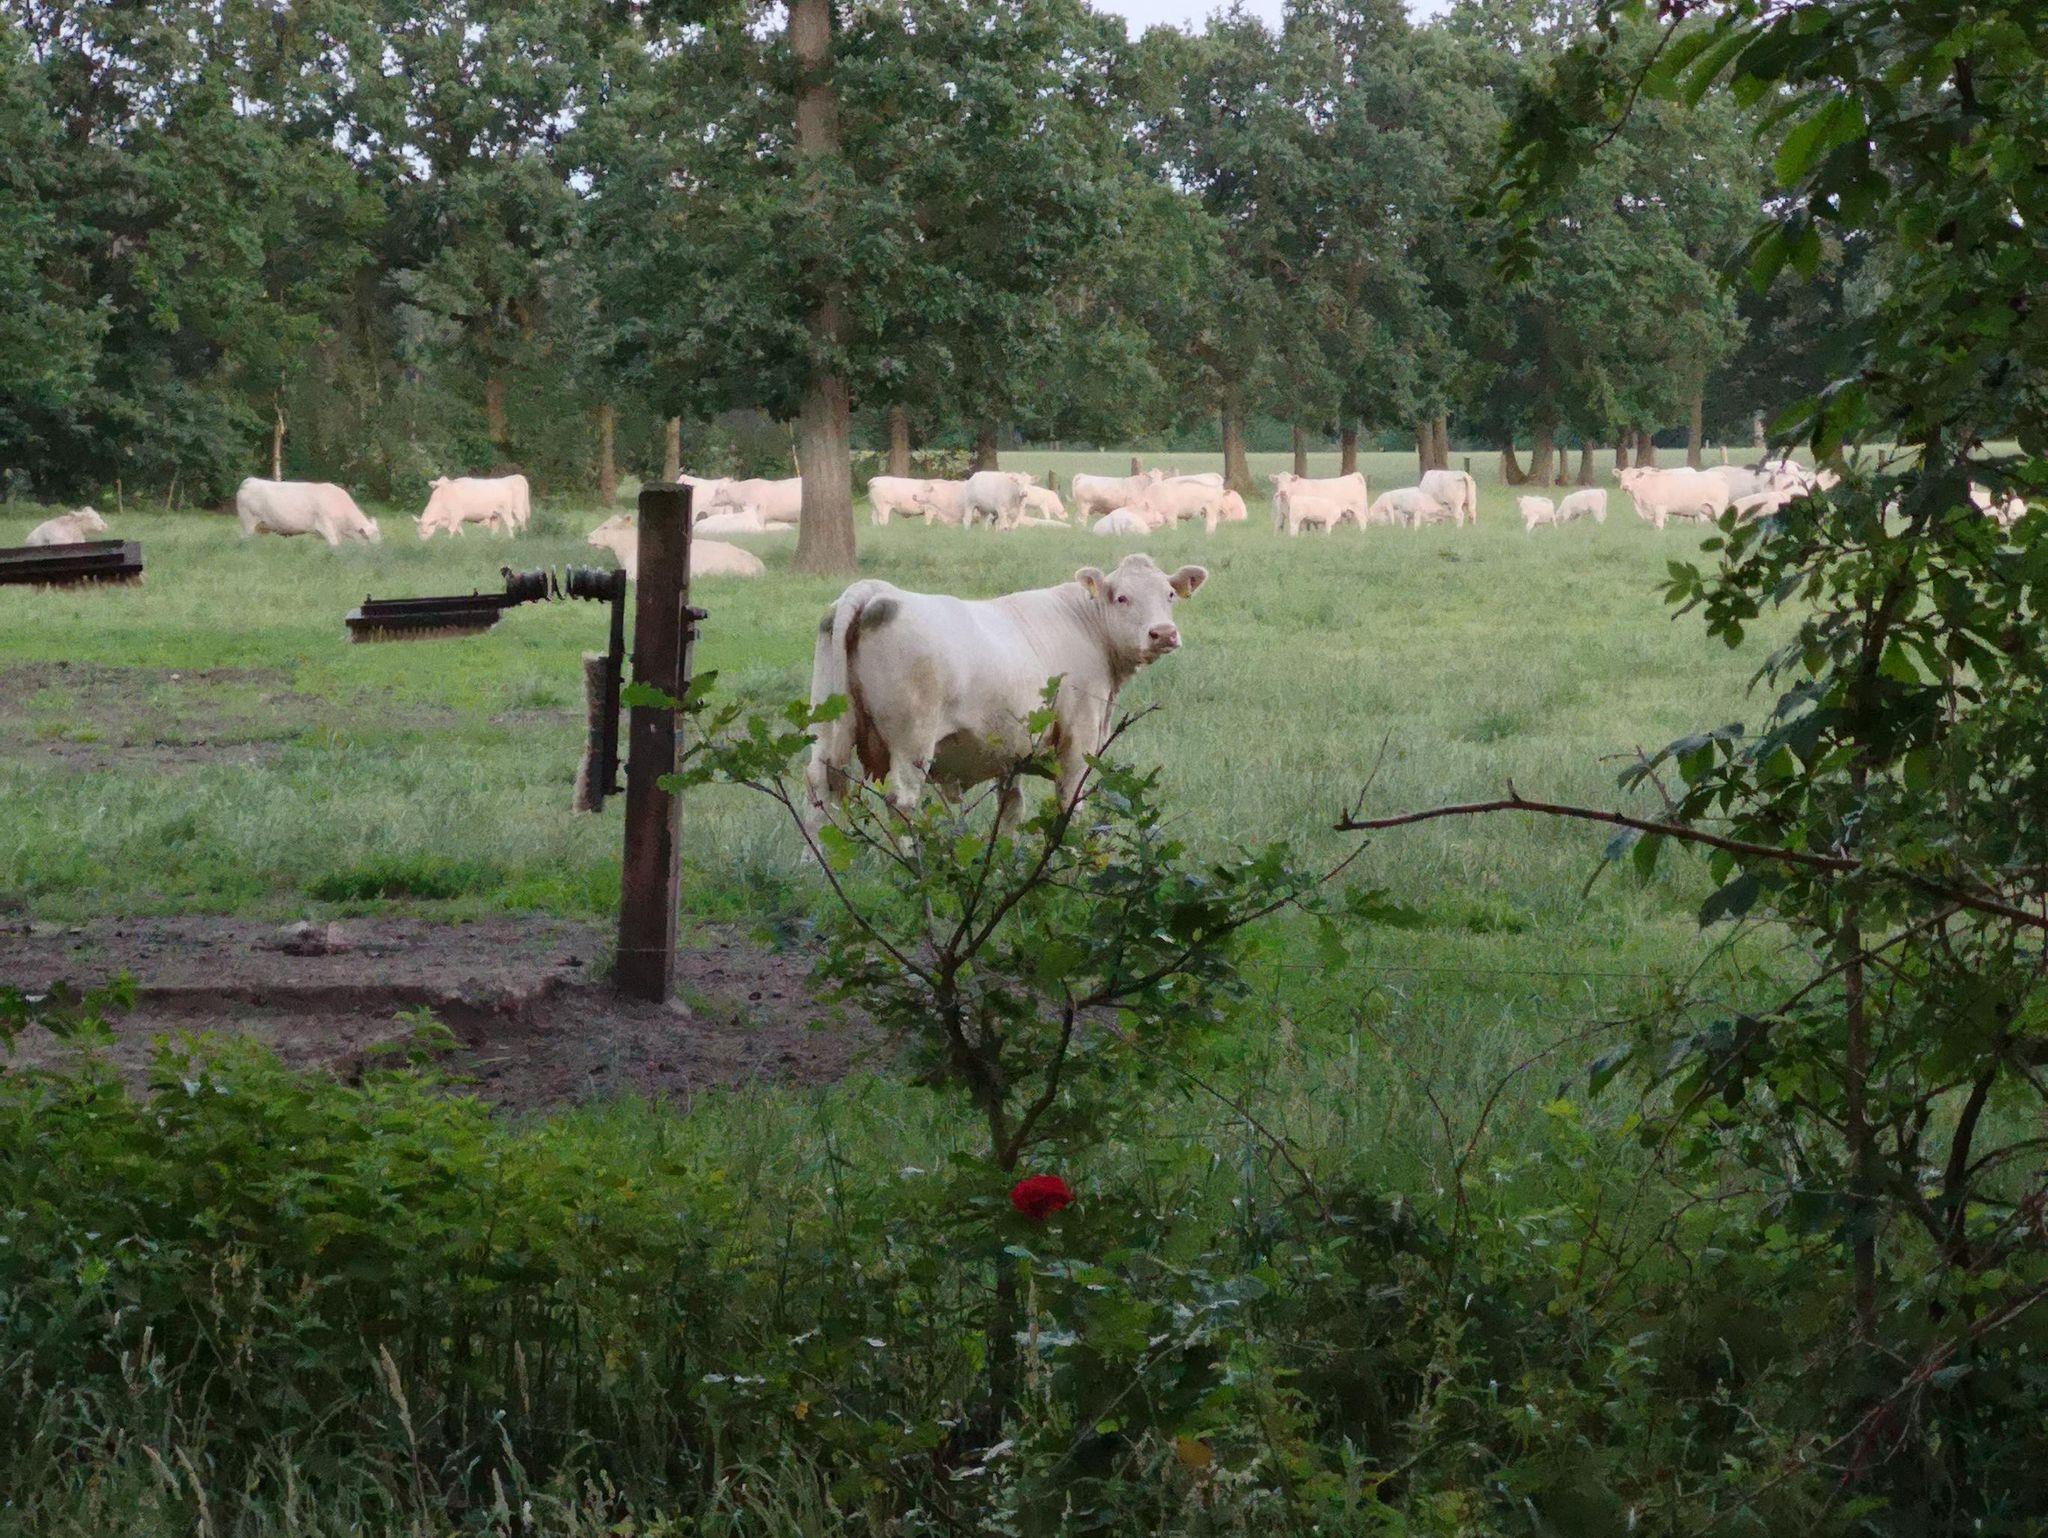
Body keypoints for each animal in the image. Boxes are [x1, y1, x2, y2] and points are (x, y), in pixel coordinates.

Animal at [236, 478, 380, 545]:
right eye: (370, 540)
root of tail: (251, 480)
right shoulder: (326, 526)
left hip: (260, 526)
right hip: (248, 522)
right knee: (243, 539)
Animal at [803, 552, 1207, 827]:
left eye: (1170, 595)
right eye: (1122, 597)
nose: (1163, 633)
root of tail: (874, 591)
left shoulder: (1009, 752)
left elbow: (1011, 811)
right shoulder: (1079, 736)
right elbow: (1069, 806)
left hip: (826, 724)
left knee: (820, 787)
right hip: (911, 739)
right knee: (901, 801)